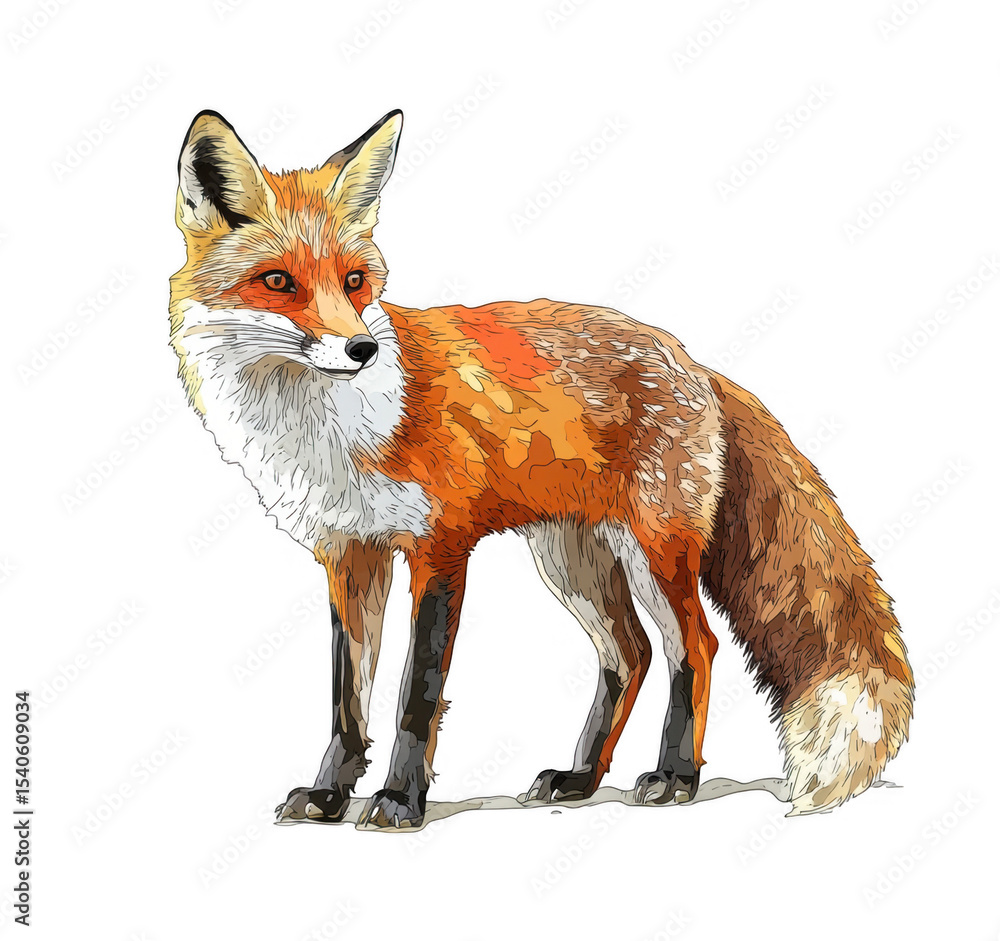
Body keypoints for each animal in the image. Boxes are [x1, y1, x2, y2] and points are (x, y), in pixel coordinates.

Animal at [168, 108, 914, 829]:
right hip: (571, 558)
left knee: (693, 647)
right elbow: (347, 701)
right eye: (277, 281)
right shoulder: (350, 553)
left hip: (655, 549)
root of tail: (693, 360)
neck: (327, 430)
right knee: (630, 654)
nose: (360, 348)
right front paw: (328, 796)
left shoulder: (441, 548)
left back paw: (676, 776)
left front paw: (401, 802)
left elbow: (417, 694)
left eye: (354, 281)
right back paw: (581, 777)